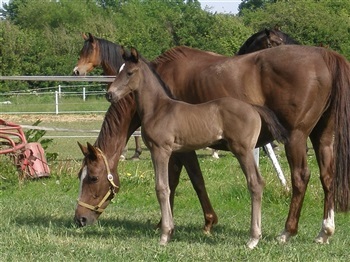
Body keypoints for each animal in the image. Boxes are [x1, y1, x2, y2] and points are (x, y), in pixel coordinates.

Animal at [73, 29, 290, 231]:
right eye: (79, 175)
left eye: (93, 178)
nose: (79, 219)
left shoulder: (181, 148)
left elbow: (188, 180)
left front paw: (202, 221)